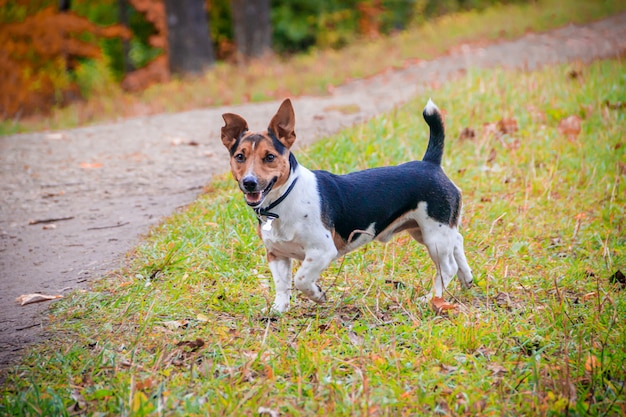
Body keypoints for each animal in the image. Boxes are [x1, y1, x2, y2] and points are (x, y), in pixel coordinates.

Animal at [222, 98, 470, 312]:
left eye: (270, 157)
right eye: (240, 156)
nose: (249, 183)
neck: (284, 200)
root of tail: (430, 164)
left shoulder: (322, 251)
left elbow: (301, 279)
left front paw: (318, 295)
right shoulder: (276, 254)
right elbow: (282, 285)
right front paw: (278, 310)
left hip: (434, 236)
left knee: (446, 267)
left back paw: (431, 299)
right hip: (427, 230)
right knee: (457, 242)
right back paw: (467, 278)